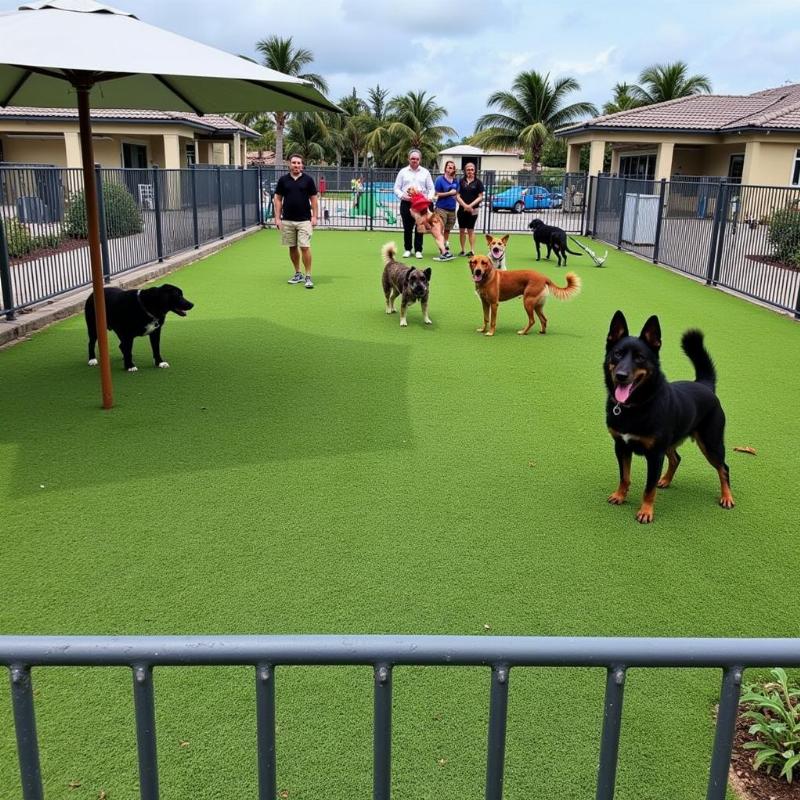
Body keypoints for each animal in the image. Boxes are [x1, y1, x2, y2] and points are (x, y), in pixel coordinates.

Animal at [604, 310, 736, 520]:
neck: (636, 405)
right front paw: (620, 496)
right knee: (676, 458)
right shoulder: (621, 447)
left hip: (711, 443)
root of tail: (705, 385)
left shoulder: (655, 455)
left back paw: (727, 497)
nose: (621, 376)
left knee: (723, 468)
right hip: (673, 441)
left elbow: (648, 488)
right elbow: (624, 476)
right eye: (617, 354)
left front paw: (646, 511)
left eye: (640, 357)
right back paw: (665, 480)